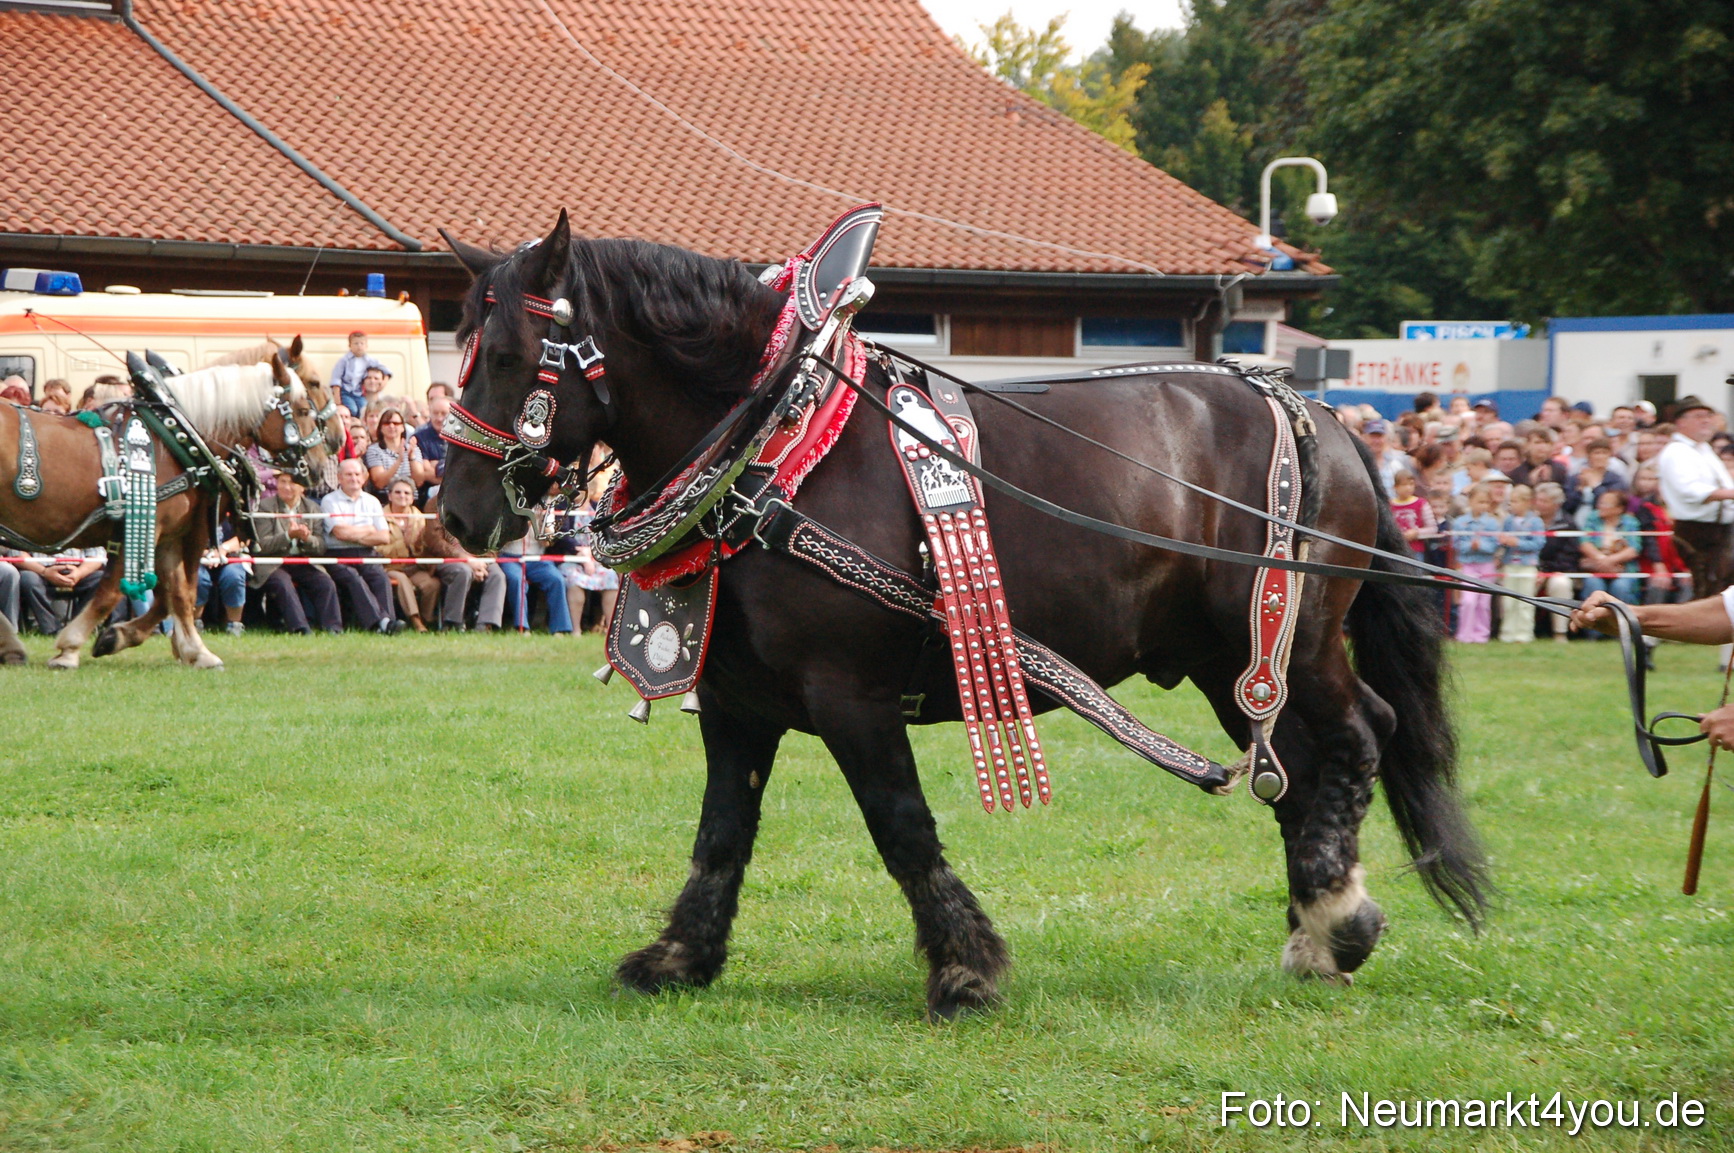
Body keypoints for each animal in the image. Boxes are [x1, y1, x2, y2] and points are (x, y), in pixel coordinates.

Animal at [0, 339, 340, 670]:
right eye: (306, 400)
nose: (321, 461)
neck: (179, 433)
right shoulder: (149, 528)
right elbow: (114, 592)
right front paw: (71, 648)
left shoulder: (170, 535)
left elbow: (177, 592)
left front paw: (192, 649)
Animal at [437, 214, 1488, 1020]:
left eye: (508, 355)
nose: (457, 512)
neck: (779, 444)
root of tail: (1325, 416)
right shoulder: (738, 703)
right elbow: (723, 831)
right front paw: (680, 957)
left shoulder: (850, 694)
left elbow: (900, 824)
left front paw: (965, 966)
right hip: (1225, 662)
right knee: (1293, 762)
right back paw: (1317, 926)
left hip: (1288, 638)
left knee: (1358, 736)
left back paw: (1338, 917)